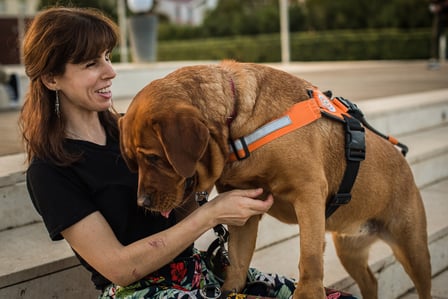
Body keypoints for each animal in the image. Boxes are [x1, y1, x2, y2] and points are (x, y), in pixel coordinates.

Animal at [118, 61, 430, 299]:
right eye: (131, 161)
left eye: (154, 158)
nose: (142, 201)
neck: (237, 128)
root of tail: (405, 164)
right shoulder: (245, 211)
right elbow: (238, 261)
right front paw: (230, 290)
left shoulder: (309, 193)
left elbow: (310, 257)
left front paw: (307, 293)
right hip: (349, 249)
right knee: (371, 281)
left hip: (413, 250)